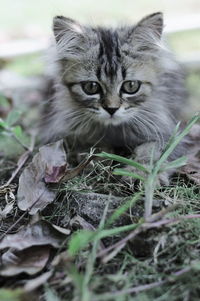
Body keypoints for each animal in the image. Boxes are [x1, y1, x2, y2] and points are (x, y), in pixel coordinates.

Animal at [42, 11, 188, 180]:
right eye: (91, 87)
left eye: (131, 86)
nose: (111, 109)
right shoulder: (64, 129)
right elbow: (90, 144)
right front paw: (98, 158)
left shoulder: (167, 131)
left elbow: (151, 151)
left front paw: (140, 172)